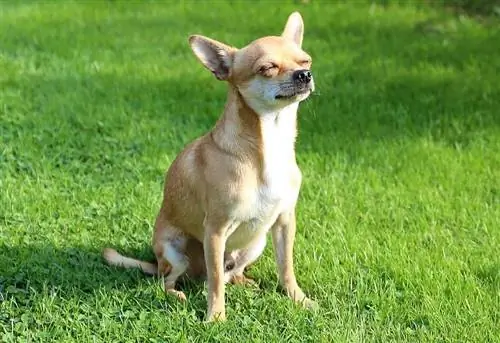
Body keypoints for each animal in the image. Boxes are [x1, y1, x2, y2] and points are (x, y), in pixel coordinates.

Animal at [102, 11, 316, 322]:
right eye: (267, 68)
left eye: (305, 61)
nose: (304, 75)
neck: (269, 145)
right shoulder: (215, 230)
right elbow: (215, 283)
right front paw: (216, 317)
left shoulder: (285, 222)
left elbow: (286, 267)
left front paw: (298, 299)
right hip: (174, 250)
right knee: (173, 279)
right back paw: (177, 294)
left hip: (256, 242)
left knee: (229, 273)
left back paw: (245, 282)